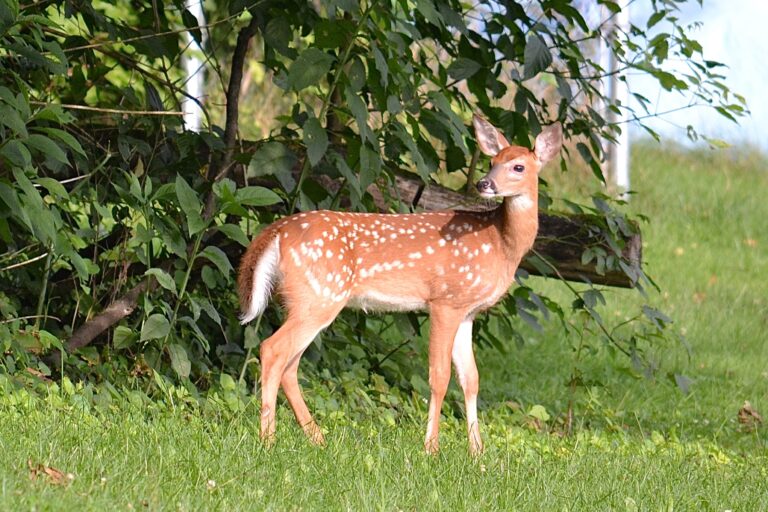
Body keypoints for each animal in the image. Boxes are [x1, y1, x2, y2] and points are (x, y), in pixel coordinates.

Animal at [237, 115, 562, 454]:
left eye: (518, 166)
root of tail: (276, 231)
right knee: (273, 349)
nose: (484, 184)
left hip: (308, 300)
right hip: (319, 296)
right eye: (492, 162)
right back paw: (268, 440)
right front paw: (431, 448)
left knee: (290, 364)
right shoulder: (445, 301)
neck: (501, 243)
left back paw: (317, 438)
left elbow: (471, 378)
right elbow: (439, 376)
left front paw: (477, 452)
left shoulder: (468, 311)